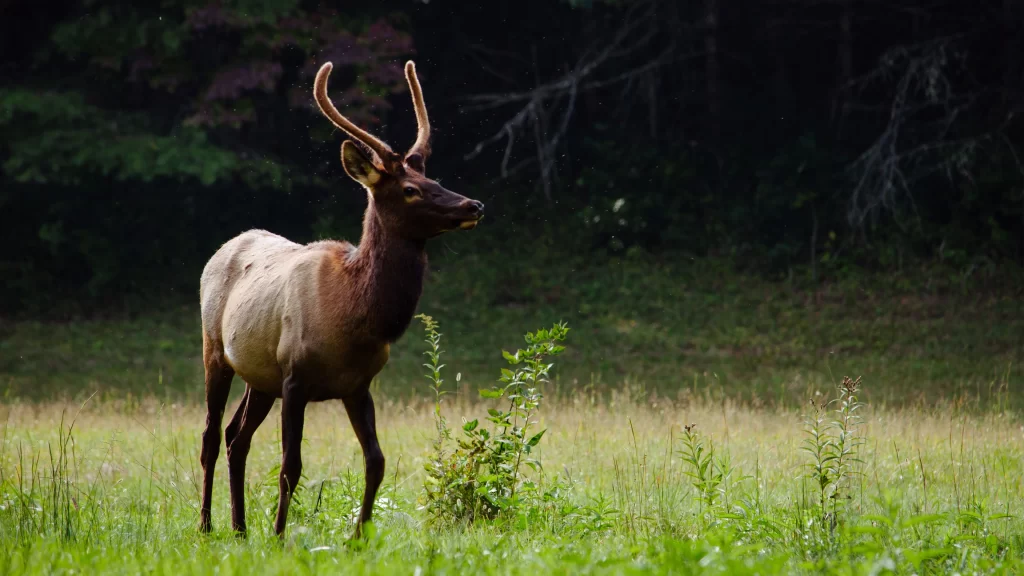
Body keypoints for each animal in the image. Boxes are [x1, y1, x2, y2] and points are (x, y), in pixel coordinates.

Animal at [197, 60, 483, 539]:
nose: (473, 205)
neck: (354, 318)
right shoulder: (295, 377)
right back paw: (206, 525)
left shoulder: (358, 385)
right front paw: (279, 536)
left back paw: (239, 528)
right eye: (409, 189)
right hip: (215, 350)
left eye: (433, 179)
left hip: (260, 376)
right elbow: (290, 467)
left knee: (238, 437)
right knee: (211, 437)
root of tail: (222, 248)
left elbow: (376, 462)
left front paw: (360, 536)